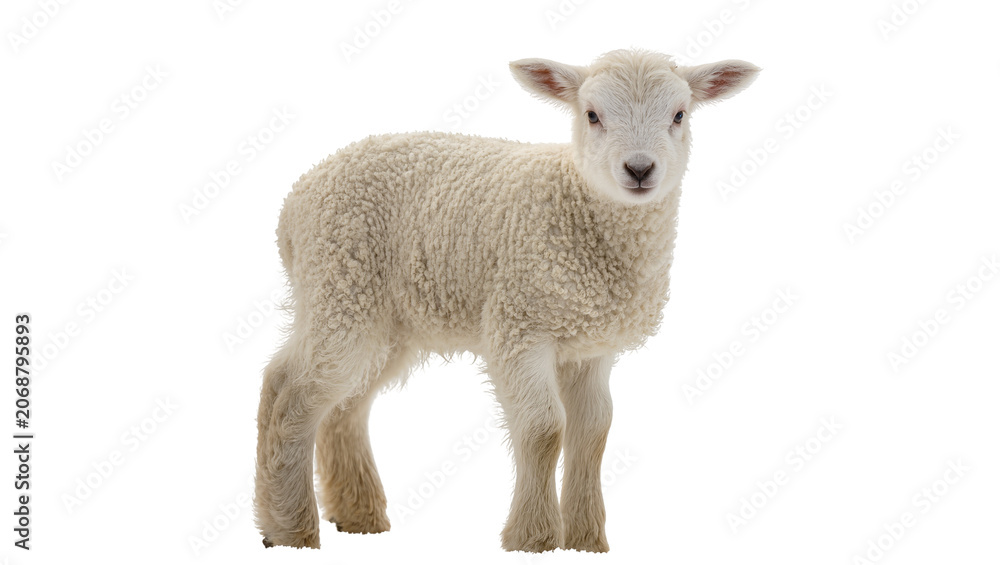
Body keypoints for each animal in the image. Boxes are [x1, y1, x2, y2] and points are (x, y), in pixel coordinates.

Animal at [254, 48, 759, 553]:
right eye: (592, 115)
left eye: (679, 115)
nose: (638, 169)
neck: (578, 204)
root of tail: (294, 203)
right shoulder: (519, 325)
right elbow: (543, 429)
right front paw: (533, 536)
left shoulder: (591, 346)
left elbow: (593, 432)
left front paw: (585, 538)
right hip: (341, 287)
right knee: (297, 399)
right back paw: (292, 528)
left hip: (380, 317)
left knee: (324, 397)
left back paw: (348, 513)